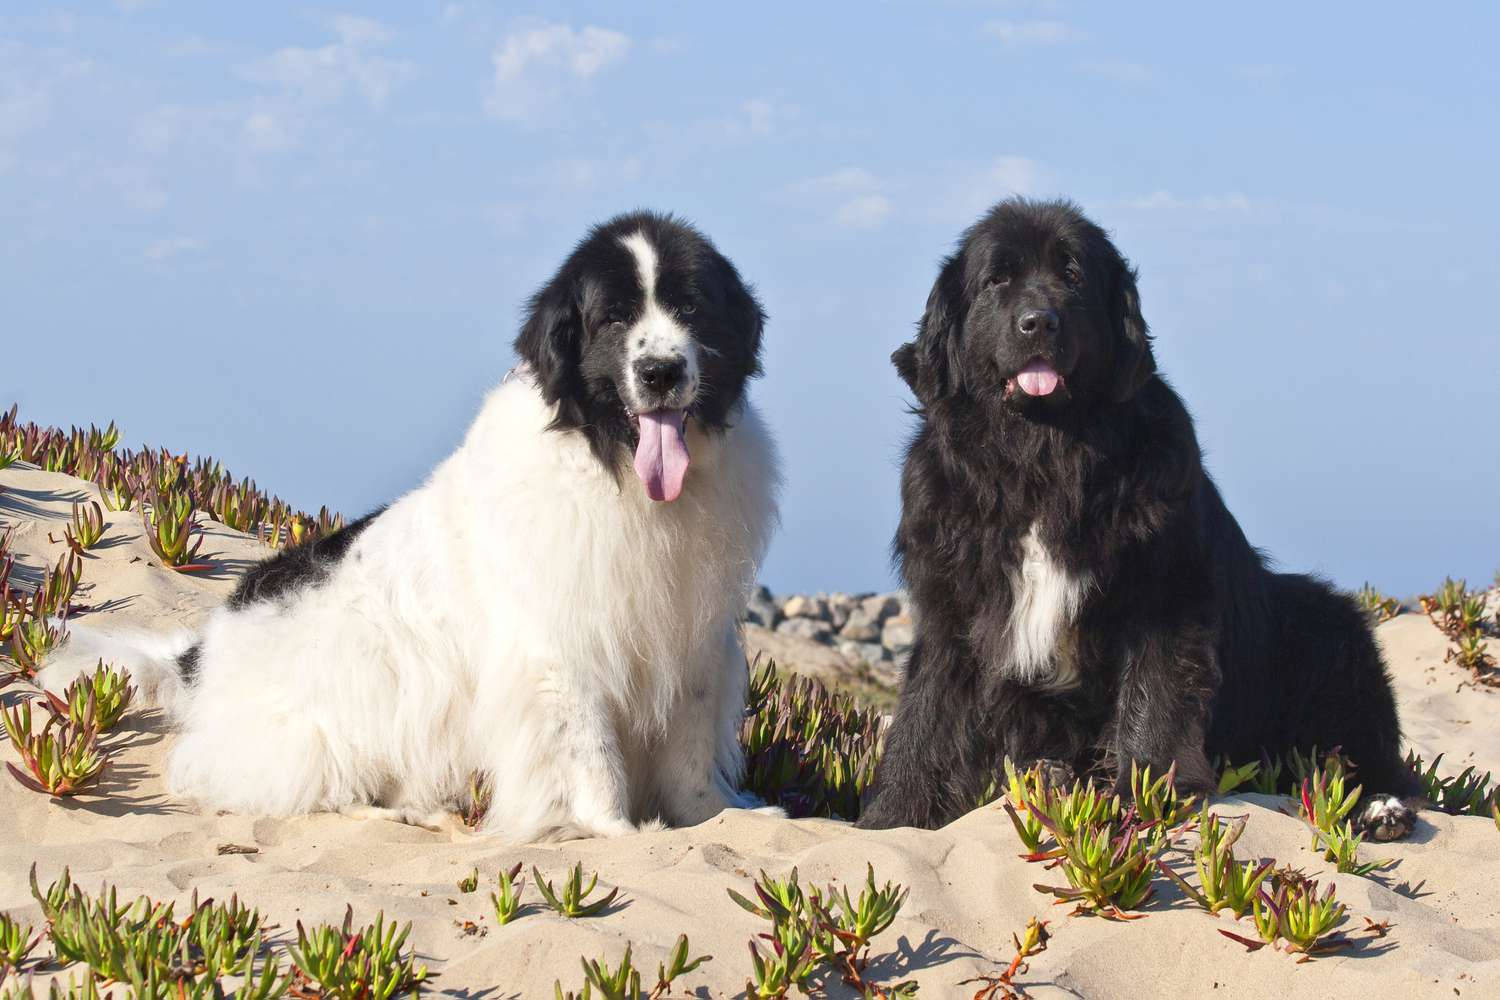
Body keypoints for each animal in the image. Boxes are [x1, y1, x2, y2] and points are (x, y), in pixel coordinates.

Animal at [51, 212, 780, 845]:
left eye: (692, 309)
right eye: (615, 317)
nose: (661, 371)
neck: (616, 469)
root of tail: (199, 655)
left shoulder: (693, 640)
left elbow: (690, 752)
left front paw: (719, 817)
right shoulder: (559, 652)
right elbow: (589, 753)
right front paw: (614, 833)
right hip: (322, 727)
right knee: (317, 786)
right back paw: (406, 814)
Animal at [858, 194, 1416, 839]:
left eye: (1073, 276)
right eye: (997, 280)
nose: (1039, 322)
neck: (1042, 459)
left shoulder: (1163, 591)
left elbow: (1154, 695)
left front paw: (1143, 797)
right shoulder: (953, 606)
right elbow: (926, 715)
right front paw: (891, 817)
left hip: (1329, 627)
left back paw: (1380, 806)